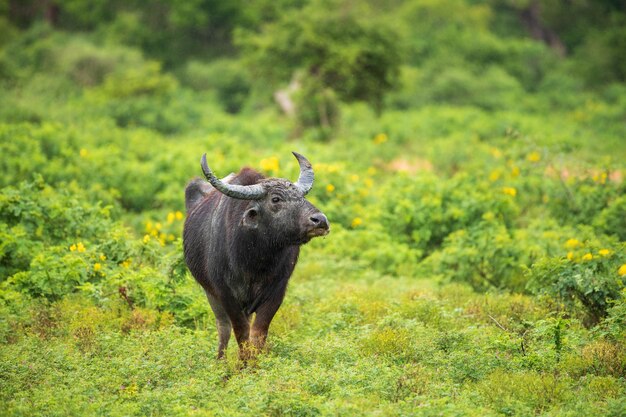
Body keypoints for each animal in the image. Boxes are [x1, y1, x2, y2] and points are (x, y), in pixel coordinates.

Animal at [182, 152, 330, 358]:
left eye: (301, 196)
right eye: (275, 199)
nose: (320, 220)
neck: (254, 261)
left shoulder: (276, 292)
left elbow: (258, 334)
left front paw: (253, 363)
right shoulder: (226, 294)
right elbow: (241, 332)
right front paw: (242, 363)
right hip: (210, 292)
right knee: (223, 327)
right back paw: (220, 360)